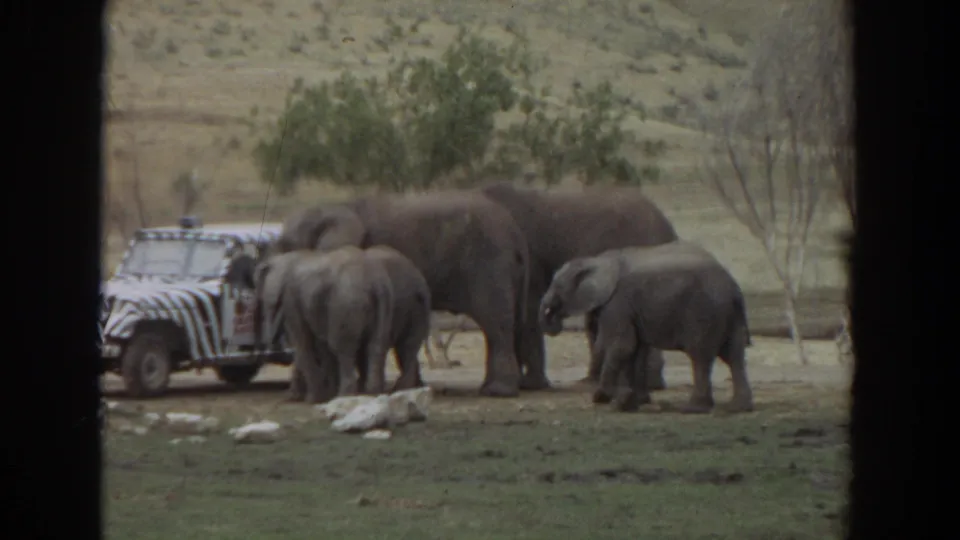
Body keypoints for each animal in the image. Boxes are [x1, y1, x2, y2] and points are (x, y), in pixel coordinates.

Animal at [253, 247, 395, 403]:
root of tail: (375, 283)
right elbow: (319, 344)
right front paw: (322, 395)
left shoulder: (291, 299)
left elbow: (303, 342)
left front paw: (312, 399)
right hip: (385, 301)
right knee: (376, 344)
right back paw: (373, 393)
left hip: (344, 303)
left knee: (342, 349)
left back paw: (344, 396)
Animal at [275, 190, 531, 398]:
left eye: (288, 247)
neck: (339, 205)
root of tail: (516, 234)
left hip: (489, 264)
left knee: (495, 323)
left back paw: (497, 391)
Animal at [538, 241, 755, 414]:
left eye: (557, 286)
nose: (553, 318)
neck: (596, 261)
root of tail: (734, 288)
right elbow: (636, 349)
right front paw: (633, 402)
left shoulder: (618, 302)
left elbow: (622, 346)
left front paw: (601, 398)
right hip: (729, 314)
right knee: (734, 355)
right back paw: (738, 408)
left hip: (704, 312)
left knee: (700, 356)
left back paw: (693, 408)